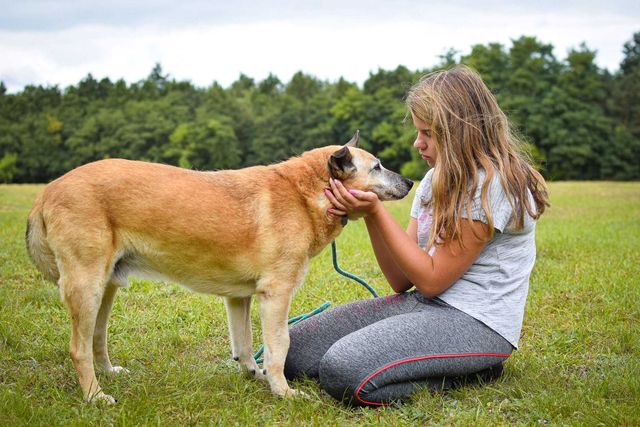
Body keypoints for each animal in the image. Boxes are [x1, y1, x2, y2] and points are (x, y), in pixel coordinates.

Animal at [26, 131, 410, 404]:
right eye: (377, 167)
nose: (408, 182)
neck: (306, 192)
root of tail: (46, 191)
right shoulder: (277, 294)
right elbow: (278, 346)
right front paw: (283, 391)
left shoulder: (239, 298)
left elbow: (245, 345)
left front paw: (254, 376)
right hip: (87, 286)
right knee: (78, 348)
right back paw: (95, 396)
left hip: (106, 287)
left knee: (97, 337)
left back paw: (109, 374)